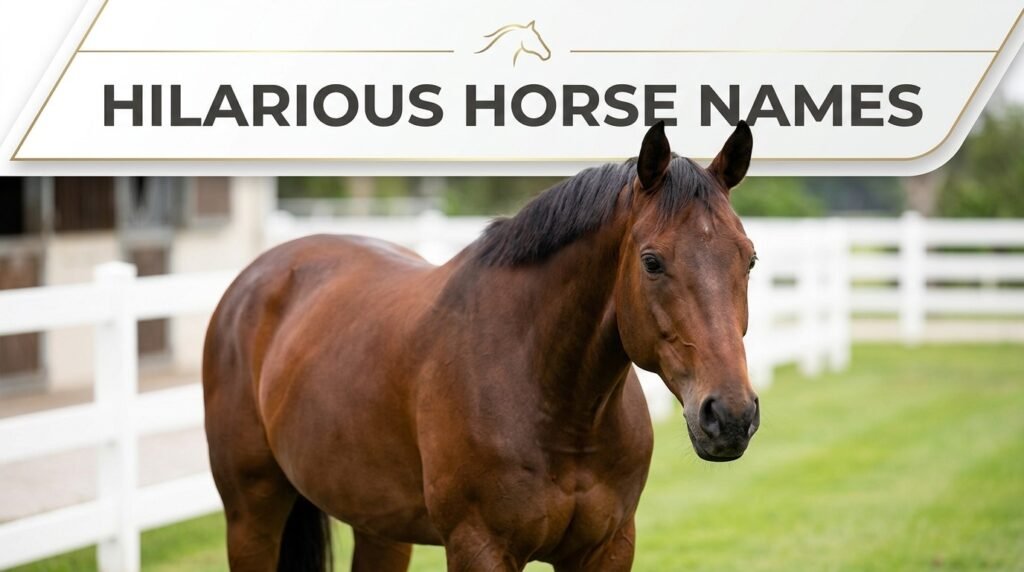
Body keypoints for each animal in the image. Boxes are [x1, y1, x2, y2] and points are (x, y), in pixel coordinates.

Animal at [203, 120, 760, 571]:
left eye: (749, 258)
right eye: (651, 261)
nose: (730, 416)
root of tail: (258, 276)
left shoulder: (608, 548)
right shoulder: (480, 547)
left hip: (378, 527)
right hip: (251, 517)